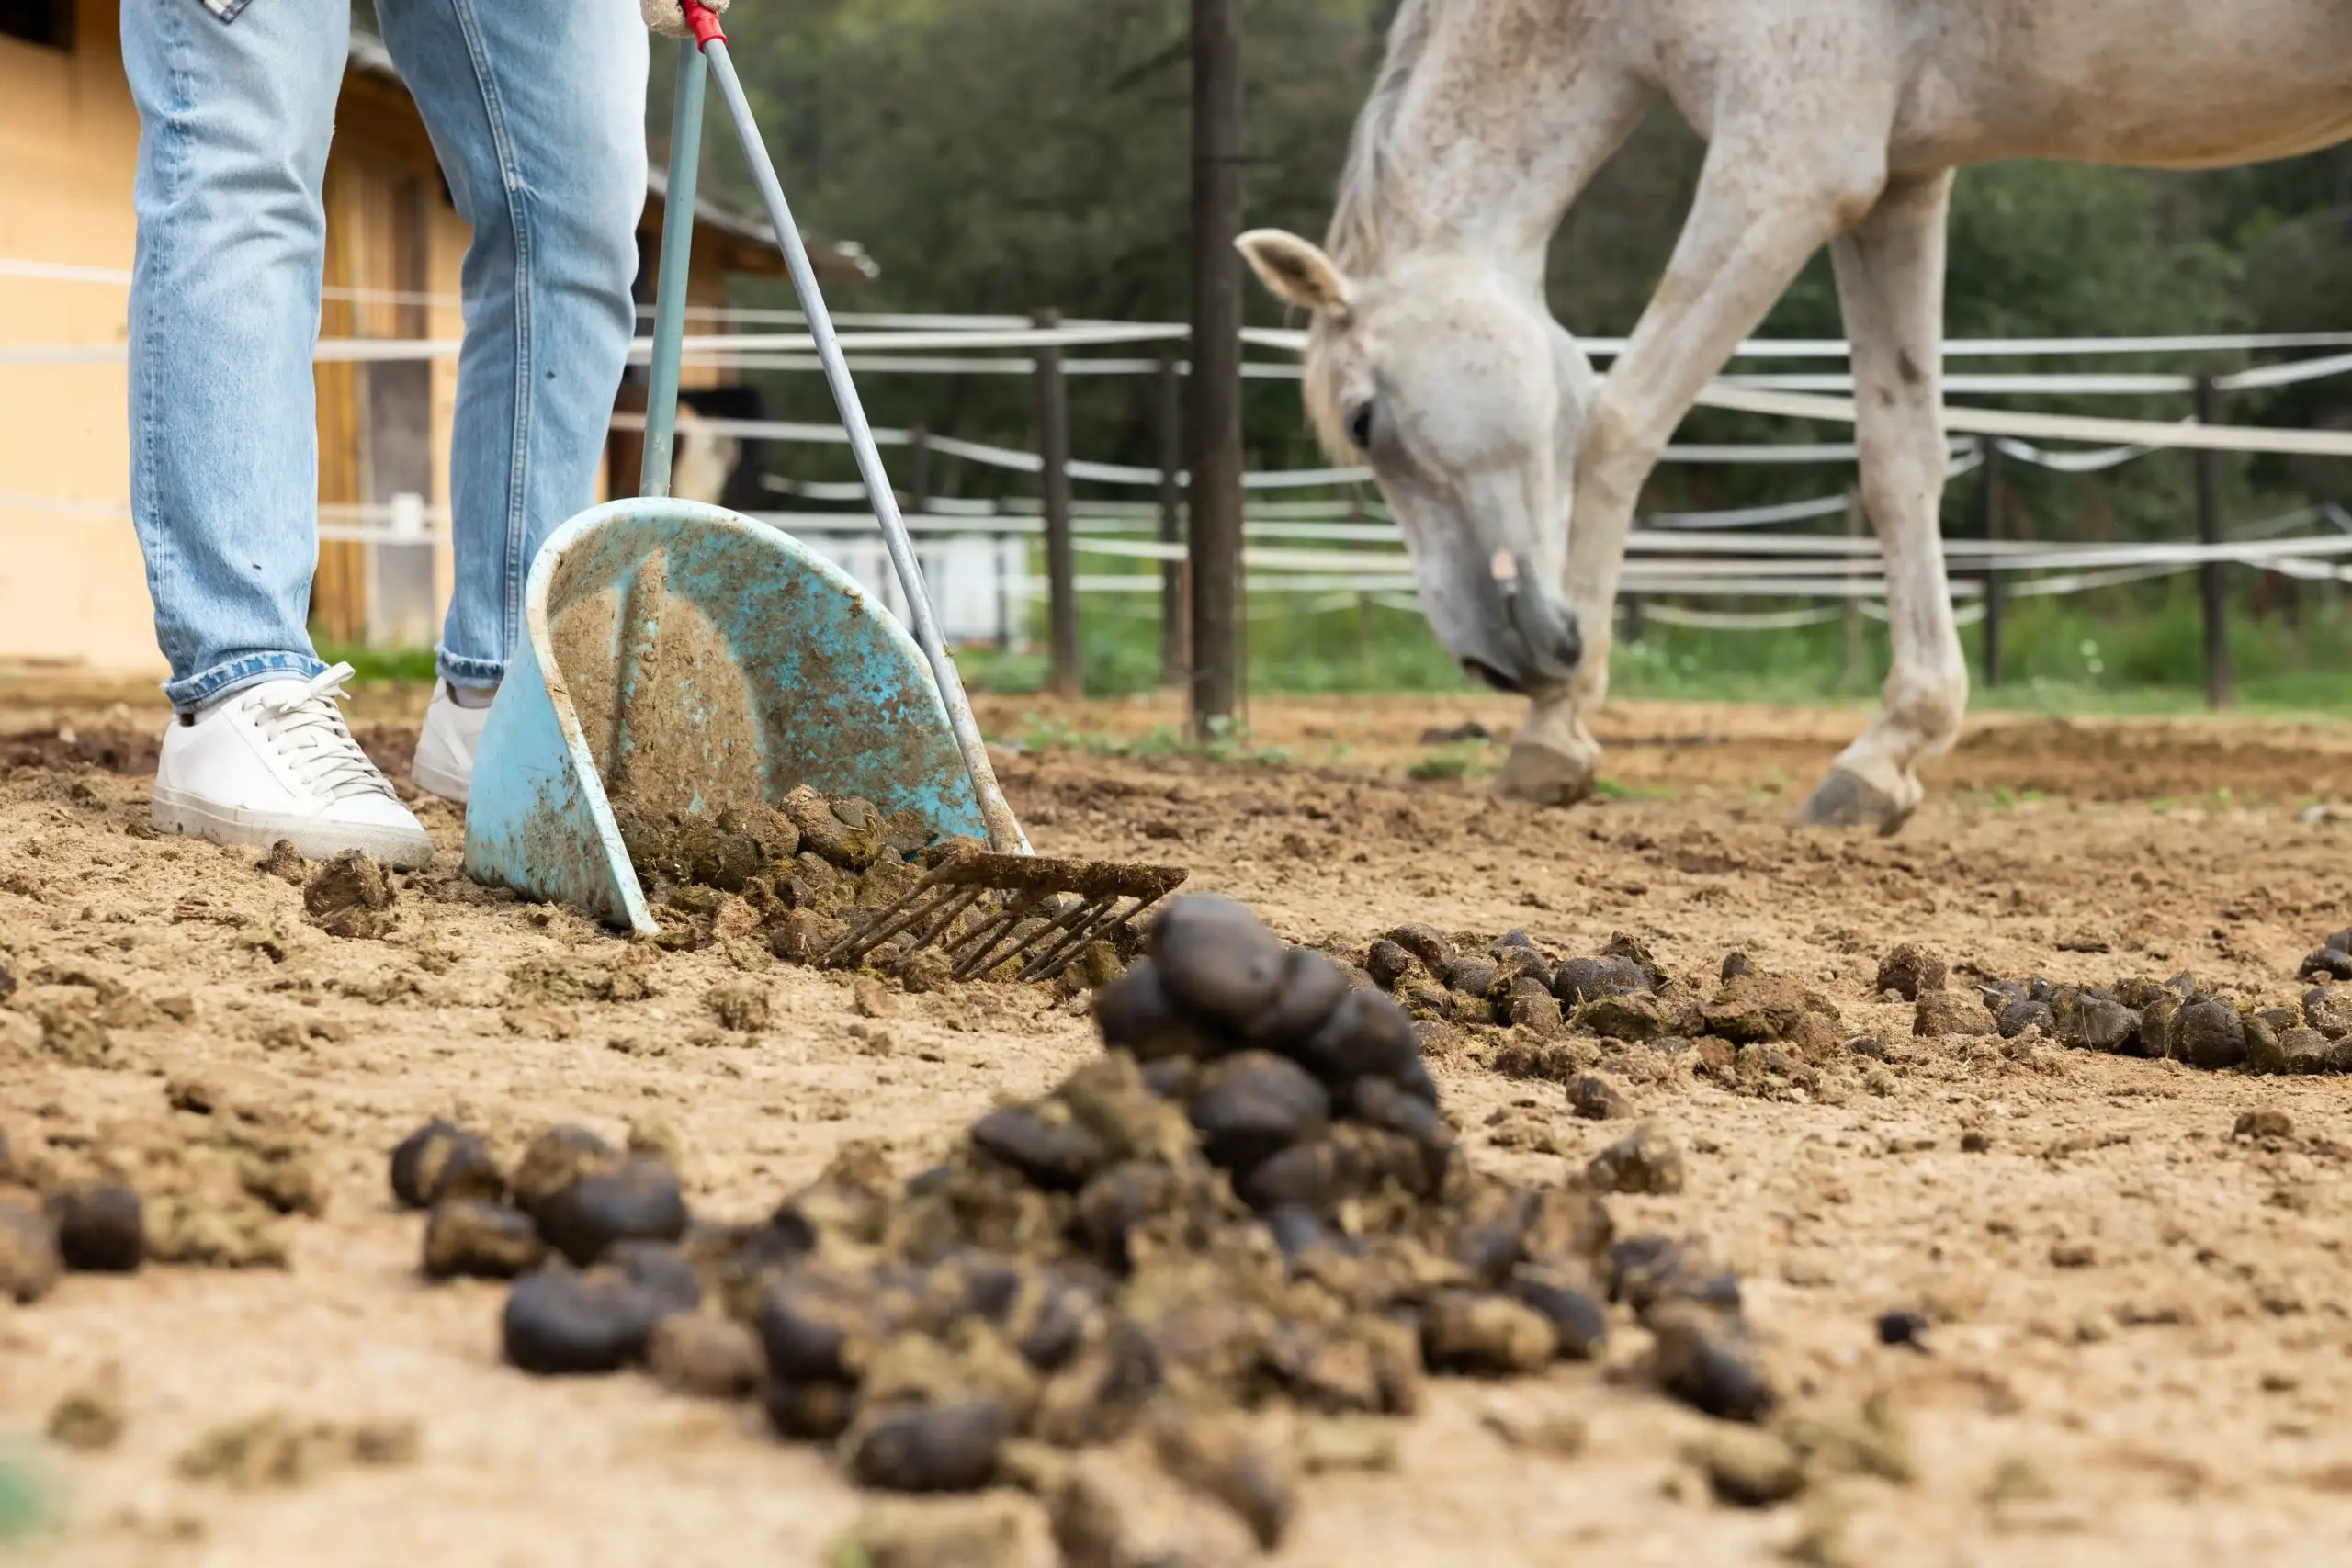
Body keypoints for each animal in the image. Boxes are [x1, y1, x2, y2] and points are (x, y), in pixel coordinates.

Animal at [1238, 0, 2352, 832]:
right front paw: (1889, 752)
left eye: (1365, 420)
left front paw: (1552, 733)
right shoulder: (1898, 184)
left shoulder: (1784, 174)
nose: (1493, 661)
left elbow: (1620, 418)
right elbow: (1898, 457)